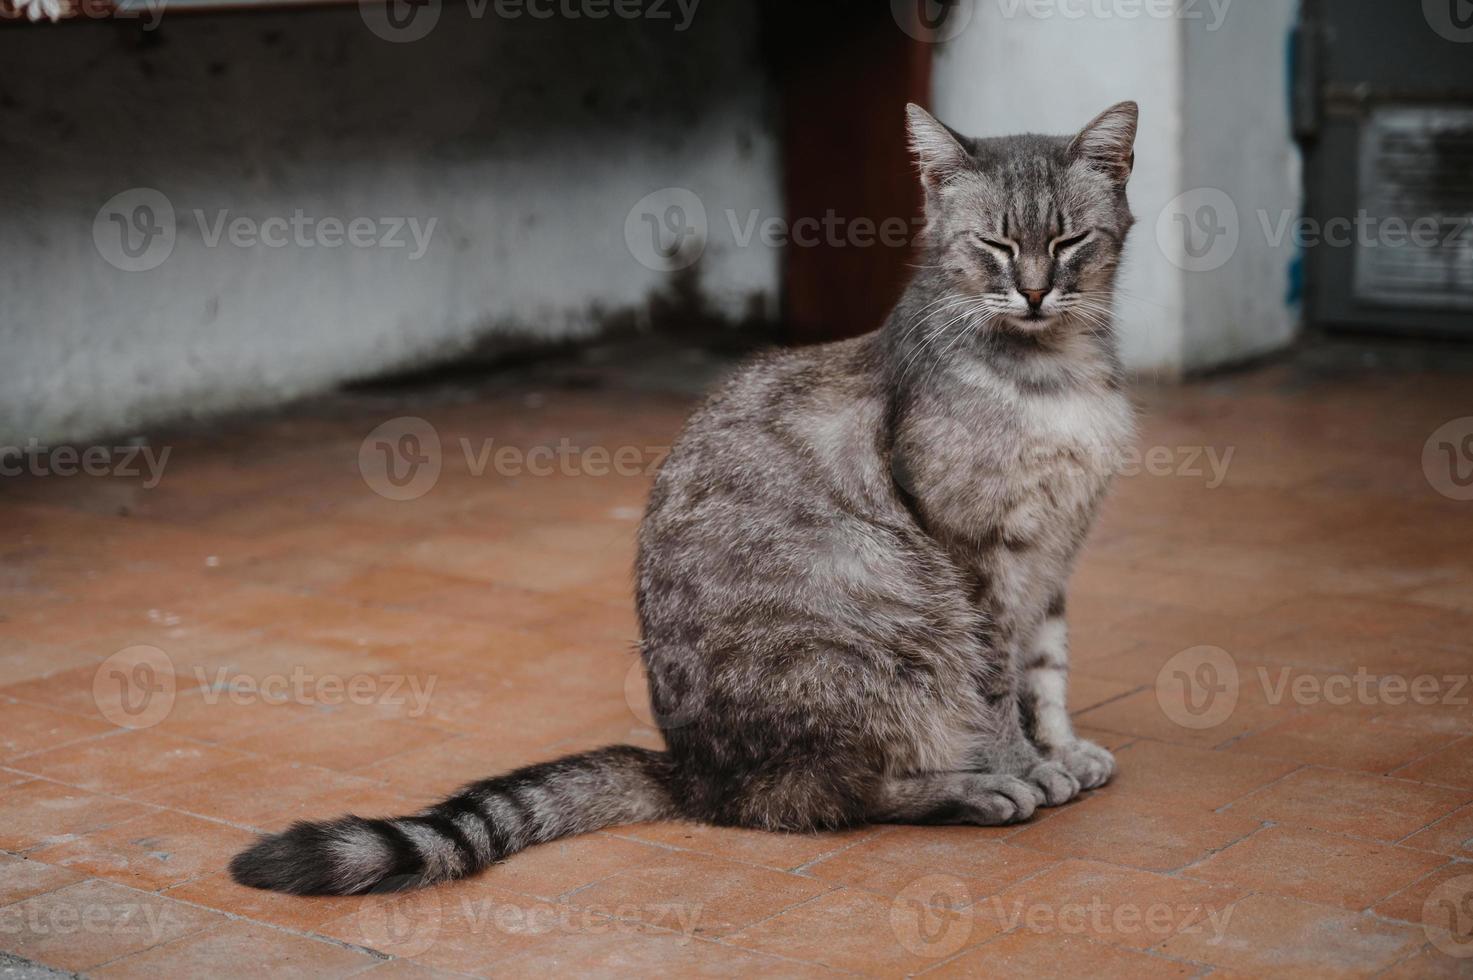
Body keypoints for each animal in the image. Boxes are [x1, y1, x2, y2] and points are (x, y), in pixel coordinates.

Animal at [235, 100, 1143, 896]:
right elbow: (995, 687)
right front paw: (1025, 764)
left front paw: (1060, 748)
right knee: (821, 795)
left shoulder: (1053, 558)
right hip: (871, 639)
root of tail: (692, 771)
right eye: (993, 243)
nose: (1033, 292)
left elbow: (1045, 669)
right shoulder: (972, 556)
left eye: (1068, 240)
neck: (1052, 370)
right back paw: (969, 789)